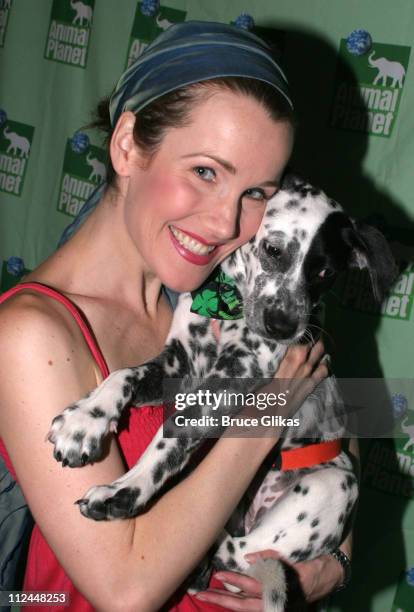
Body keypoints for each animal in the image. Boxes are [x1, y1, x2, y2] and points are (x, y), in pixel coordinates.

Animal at [47, 173, 396, 612]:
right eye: (273, 249)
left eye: (324, 273)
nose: (283, 326)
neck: (227, 306)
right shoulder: (180, 365)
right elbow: (123, 375)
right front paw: (85, 419)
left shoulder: (237, 374)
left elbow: (172, 435)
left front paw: (125, 490)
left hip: (332, 483)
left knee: (241, 553)